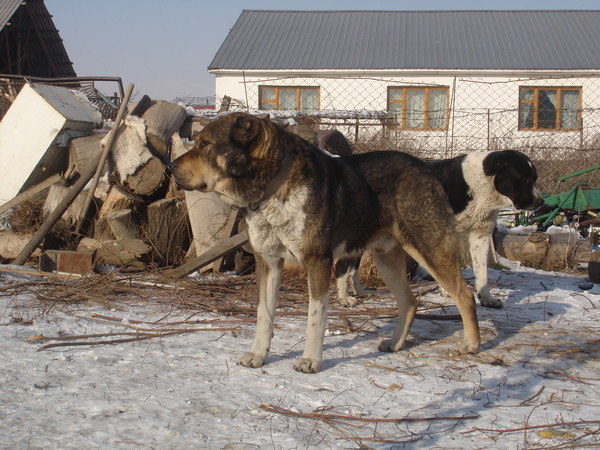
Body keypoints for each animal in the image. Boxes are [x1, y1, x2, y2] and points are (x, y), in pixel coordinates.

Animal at [171, 112, 480, 372]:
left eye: (205, 144)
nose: (171, 164)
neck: (273, 187)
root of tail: (428, 168)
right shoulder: (268, 262)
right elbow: (263, 314)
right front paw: (258, 355)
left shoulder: (317, 262)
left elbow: (315, 317)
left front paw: (310, 359)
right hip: (386, 262)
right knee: (410, 303)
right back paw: (395, 344)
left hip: (429, 251)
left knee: (464, 295)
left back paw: (471, 344)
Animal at [338, 149, 544, 308]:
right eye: (524, 178)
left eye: (535, 178)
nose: (541, 202)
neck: (478, 187)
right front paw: (447, 291)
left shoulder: (480, 237)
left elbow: (481, 272)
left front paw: (486, 297)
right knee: (343, 268)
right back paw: (343, 298)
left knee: (352, 270)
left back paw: (359, 291)